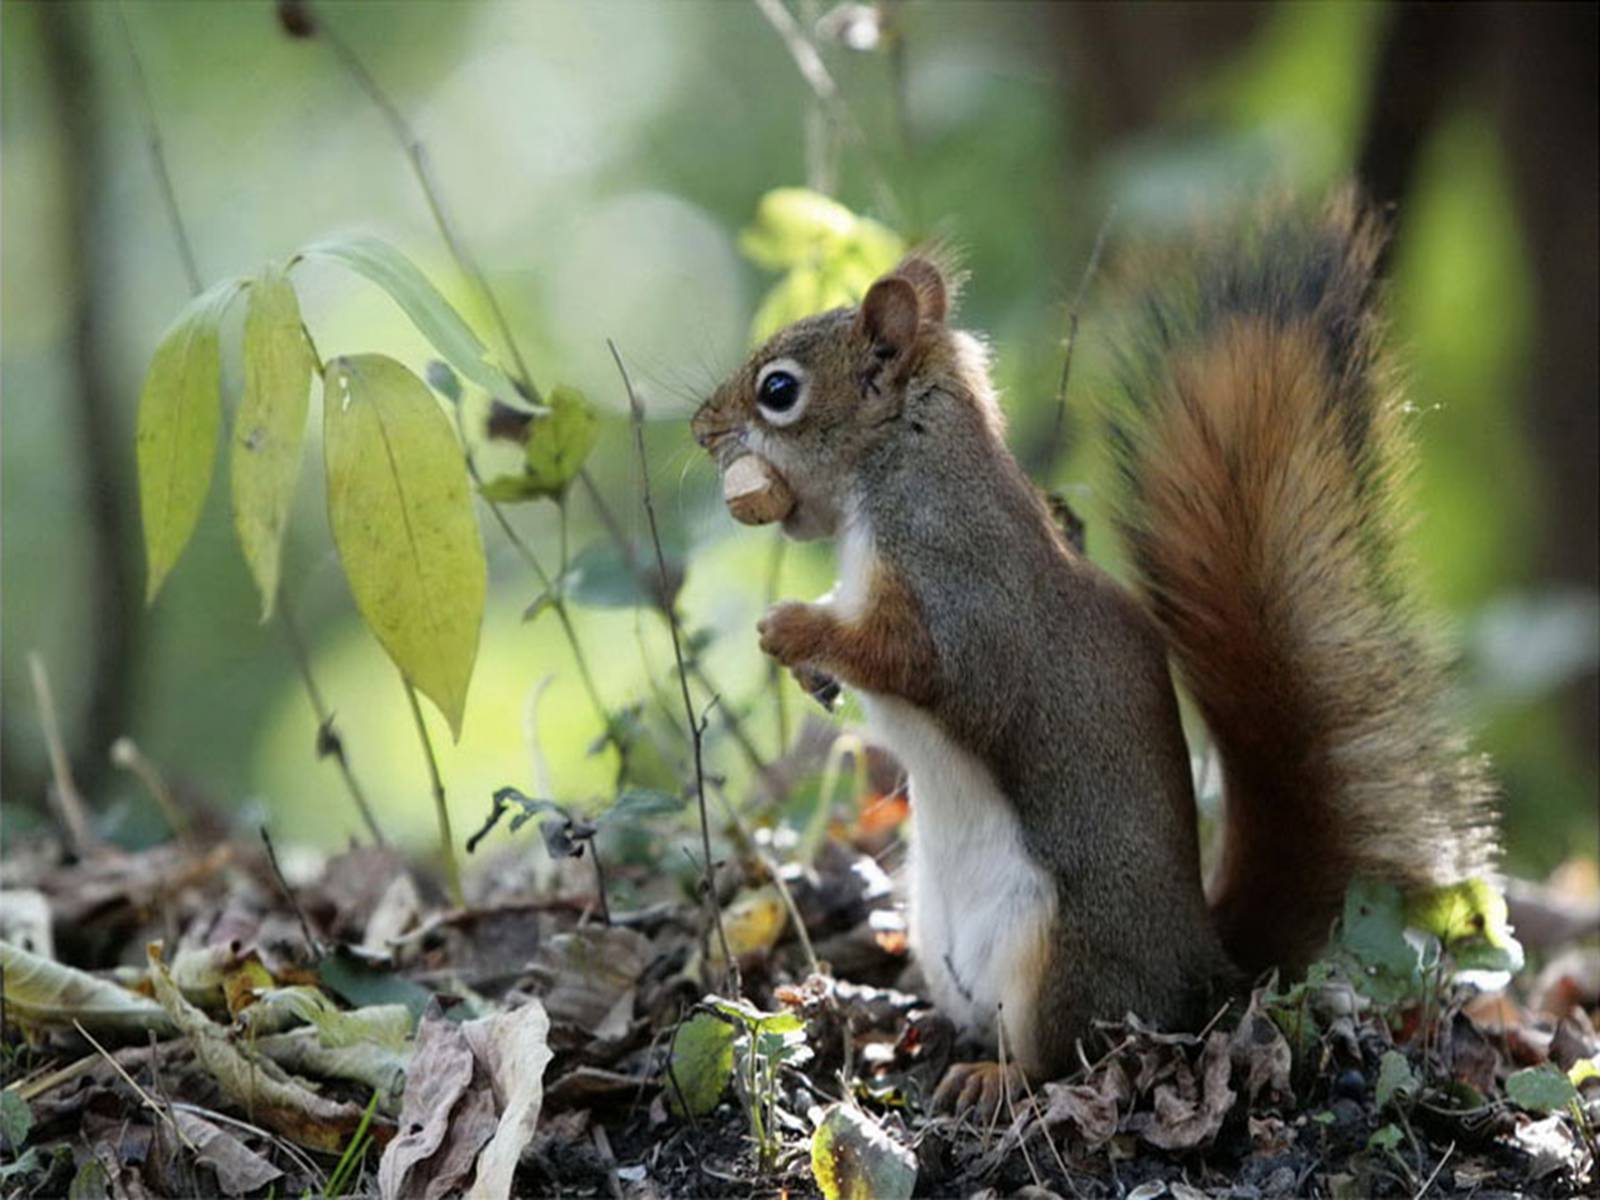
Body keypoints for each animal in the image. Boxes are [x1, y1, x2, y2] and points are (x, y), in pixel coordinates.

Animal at [688, 195, 1497, 1120]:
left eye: (778, 391)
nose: (700, 428)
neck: (902, 463)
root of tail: (1201, 968)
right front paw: (808, 670)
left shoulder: (956, 589)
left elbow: (911, 662)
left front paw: (792, 631)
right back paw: (924, 1033)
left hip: (1058, 958)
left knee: (1059, 1052)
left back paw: (995, 1076)